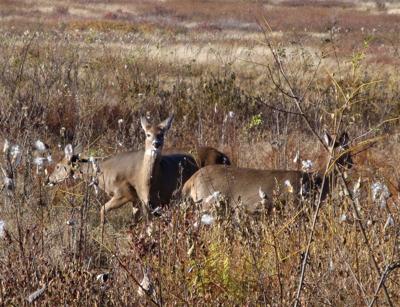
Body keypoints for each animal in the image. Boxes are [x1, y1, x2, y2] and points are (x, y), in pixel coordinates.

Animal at [48, 115, 198, 224]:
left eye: (57, 166)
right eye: (148, 134)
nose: (49, 179)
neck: (101, 173)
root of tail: (194, 160)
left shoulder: (124, 193)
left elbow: (102, 210)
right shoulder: (137, 200)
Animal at [181, 132, 354, 214]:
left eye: (349, 148)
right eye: (344, 150)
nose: (351, 163)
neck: (316, 181)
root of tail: (190, 181)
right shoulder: (294, 205)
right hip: (208, 203)